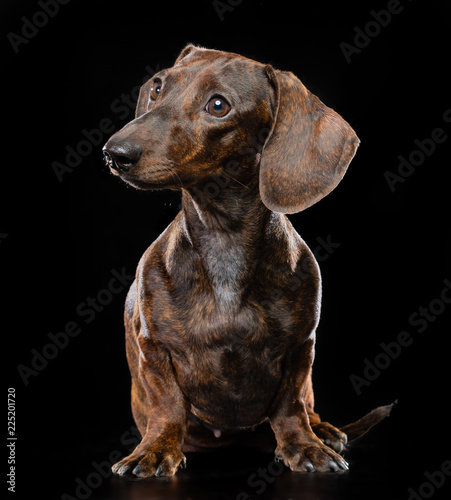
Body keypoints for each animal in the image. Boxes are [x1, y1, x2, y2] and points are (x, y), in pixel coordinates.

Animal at [102, 44, 392, 476]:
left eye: (218, 105)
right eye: (157, 87)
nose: (114, 153)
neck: (224, 237)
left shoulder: (300, 348)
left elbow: (290, 405)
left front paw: (304, 446)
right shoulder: (153, 347)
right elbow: (168, 405)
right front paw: (155, 449)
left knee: (307, 407)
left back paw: (323, 431)